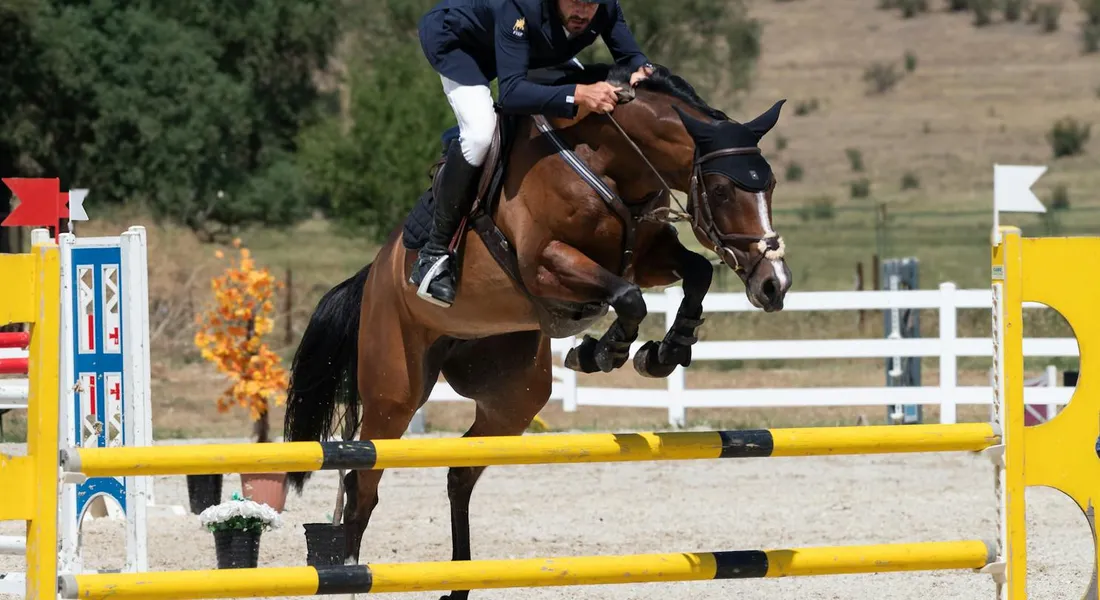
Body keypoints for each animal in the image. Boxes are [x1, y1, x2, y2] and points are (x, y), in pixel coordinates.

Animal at [283, 62, 791, 599]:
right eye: (723, 191)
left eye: (771, 185)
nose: (773, 284)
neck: (607, 160)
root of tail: (375, 271)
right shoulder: (547, 262)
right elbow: (628, 296)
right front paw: (602, 351)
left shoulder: (650, 255)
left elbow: (695, 273)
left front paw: (662, 353)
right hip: (394, 392)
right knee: (364, 483)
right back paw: (349, 573)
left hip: (513, 396)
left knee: (460, 471)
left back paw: (459, 583)